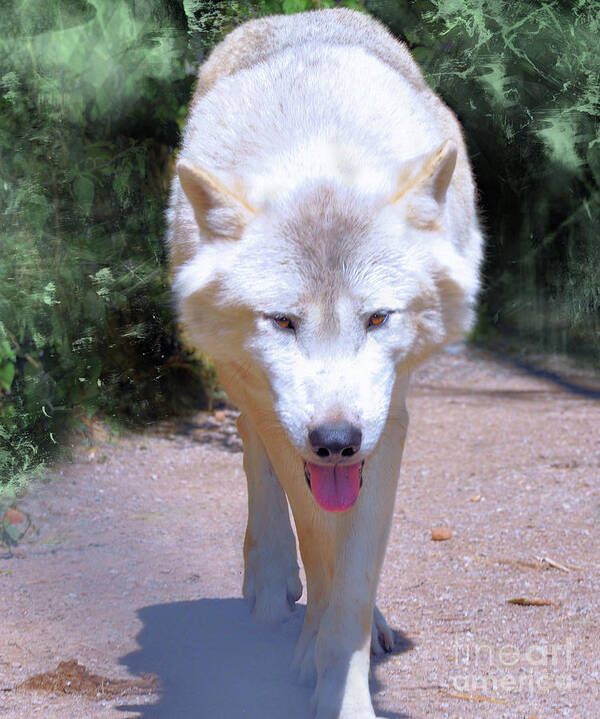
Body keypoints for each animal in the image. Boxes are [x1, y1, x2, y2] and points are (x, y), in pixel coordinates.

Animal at [168, 7, 482, 719]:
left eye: (377, 319)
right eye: (284, 321)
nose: (335, 440)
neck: (322, 160)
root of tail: (297, 15)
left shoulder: (388, 421)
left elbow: (356, 574)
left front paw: (344, 684)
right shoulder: (291, 426)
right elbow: (320, 547)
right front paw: (314, 651)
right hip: (243, 382)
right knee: (256, 451)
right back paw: (270, 581)